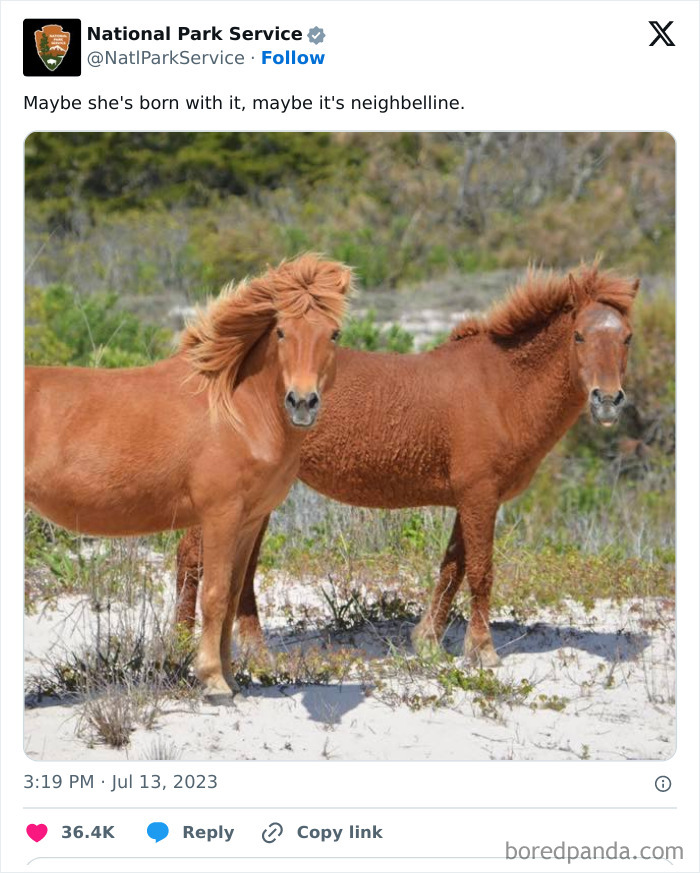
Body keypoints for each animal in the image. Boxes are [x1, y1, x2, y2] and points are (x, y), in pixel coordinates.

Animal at [25, 255, 353, 697]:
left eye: (333, 333)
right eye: (282, 331)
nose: (302, 402)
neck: (236, 412)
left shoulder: (248, 521)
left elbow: (232, 596)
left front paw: (230, 676)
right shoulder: (220, 515)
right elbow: (213, 595)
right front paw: (213, 680)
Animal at [176, 266, 638, 668]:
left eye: (628, 338)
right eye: (579, 335)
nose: (607, 400)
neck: (503, 386)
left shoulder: (469, 500)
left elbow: (452, 568)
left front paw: (428, 641)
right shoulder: (481, 497)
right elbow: (481, 572)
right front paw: (483, 651)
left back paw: (254, 652)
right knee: (194, 560)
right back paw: (182, 645)